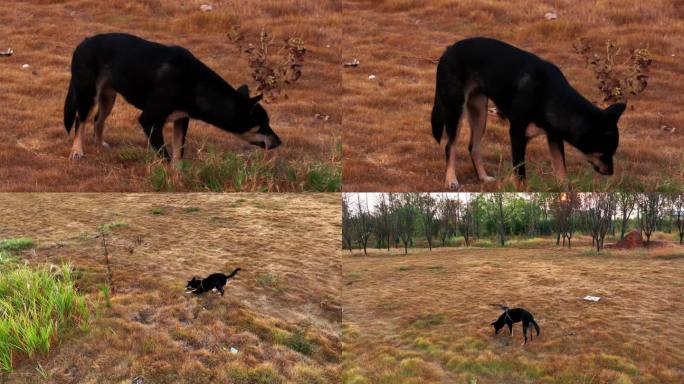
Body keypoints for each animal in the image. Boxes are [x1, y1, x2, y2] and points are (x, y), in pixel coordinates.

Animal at [63, 32, 278, 162]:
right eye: (261, 126)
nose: (279, 143)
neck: (193, 84)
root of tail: (83, 42)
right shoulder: (149, 121)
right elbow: (165, 158)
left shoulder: (181, 120)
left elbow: (177, 156)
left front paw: (179, 180)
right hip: (87, 94)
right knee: (80, 121)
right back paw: (77, 151)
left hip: (108, 97)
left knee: (97, 120)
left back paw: (100, 145)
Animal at [432, 36, 624, 190]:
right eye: (604, 152)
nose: (610, 172)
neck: (548, 96)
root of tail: (448, 50)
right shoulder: (517, 135)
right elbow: (520, 174)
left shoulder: (554, 137)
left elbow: (561, 170)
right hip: (455, 110)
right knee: (450, 146)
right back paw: (451, 180)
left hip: (480, 112)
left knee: (473, 147)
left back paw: (483, 177)